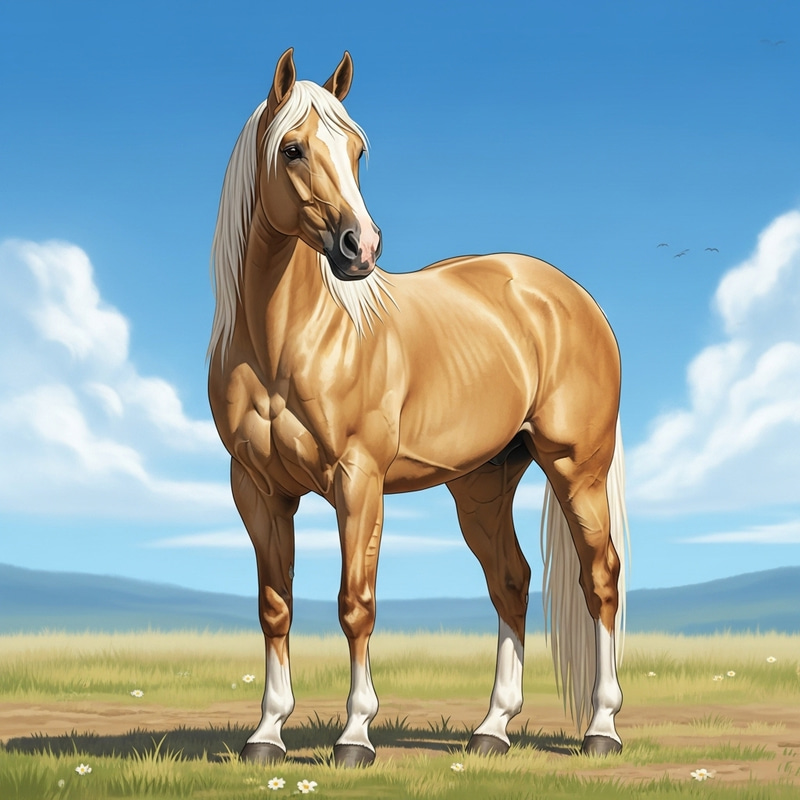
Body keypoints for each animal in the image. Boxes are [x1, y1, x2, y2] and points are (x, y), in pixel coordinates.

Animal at [207, 48, 630, 768]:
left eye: (357, 149)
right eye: (292, 148)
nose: (361, 248)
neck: (288, 339)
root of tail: (568, 295)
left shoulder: (358, 481)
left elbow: (356, 603)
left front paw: (355, 737)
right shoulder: (257, 489)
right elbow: (274, 606)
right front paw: (266, 735)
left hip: (578, 467)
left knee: (600, 576)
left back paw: (601, 728)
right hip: (483, 483)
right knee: (511, 581)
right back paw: (492, 729)